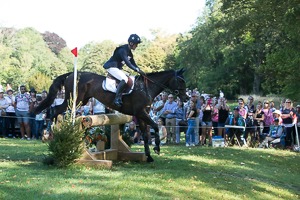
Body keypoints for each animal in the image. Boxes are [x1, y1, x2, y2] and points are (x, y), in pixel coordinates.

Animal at [35, 69, 188, 162]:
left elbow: (145, 134)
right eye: (180, 81)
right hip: (74, 100)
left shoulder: (141, 115)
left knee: (56, 110)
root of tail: (71, 74)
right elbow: (155, 127)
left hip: (80, 100)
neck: (146, 88)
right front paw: (156, 148)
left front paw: (149, 156)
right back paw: (50, 132)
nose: (186, 98)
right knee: (55, 110)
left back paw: (52, 132)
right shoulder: (141, 113)